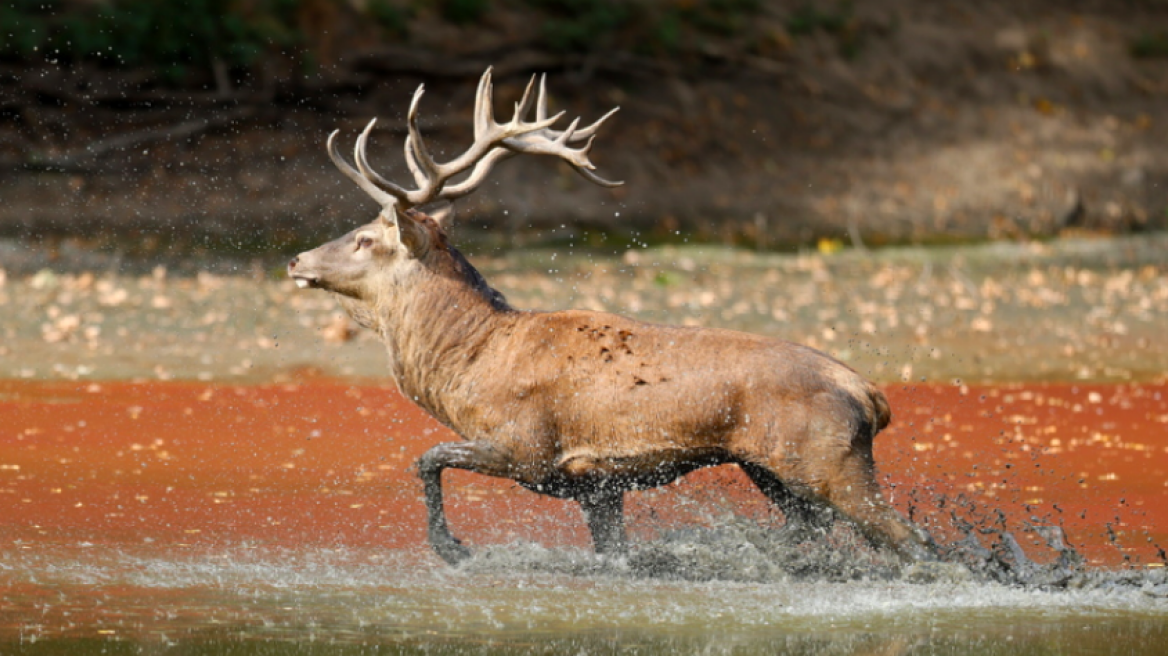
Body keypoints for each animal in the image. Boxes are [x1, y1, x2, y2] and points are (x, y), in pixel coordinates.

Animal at [287, 70, 934, 562]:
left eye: (366, 238)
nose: (296, 259)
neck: (468, 365)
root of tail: (870, 393)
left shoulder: (524, 444)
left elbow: (426, 460)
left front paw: (453, 548)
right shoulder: (597, 484)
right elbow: (612, 553)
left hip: (828, 458)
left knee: (912, 539)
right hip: (773, 470)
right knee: (816, 531)